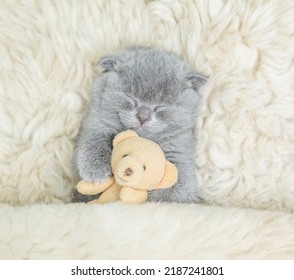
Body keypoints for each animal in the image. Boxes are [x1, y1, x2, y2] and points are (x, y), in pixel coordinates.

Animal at [73, 46, 207, 203]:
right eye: (131, 98)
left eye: (161, 107)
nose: (143, 117)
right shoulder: (97, 121)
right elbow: (93, 140)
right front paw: (95, 171)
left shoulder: (180, 148)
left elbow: (179, 183)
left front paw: (153, 198)